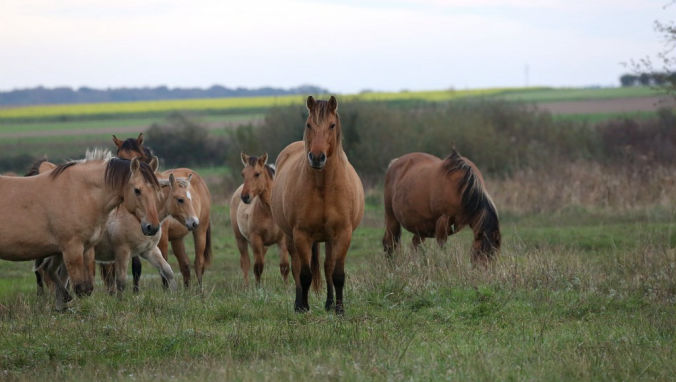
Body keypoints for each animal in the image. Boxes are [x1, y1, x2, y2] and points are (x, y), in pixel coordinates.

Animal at [1, 151, 161, 308]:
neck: (80, 193)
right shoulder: (72, 250)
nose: (152, 227)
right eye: (137, 190)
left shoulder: (86, 249)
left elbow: (86, 287)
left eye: (156, 189)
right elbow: (79, 288)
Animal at [231, 151, 290, 284]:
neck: (270, 212)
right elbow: (258, 267)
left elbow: (284, 266)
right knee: (245, 263)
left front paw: (286, 287)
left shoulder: (282, 240)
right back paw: (246, 286)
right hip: (240, 240)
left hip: (264, 246)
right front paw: (258, 288)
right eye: (243, 174)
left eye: (257, 174)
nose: (245, 197)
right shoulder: (256, 239)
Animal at [270, 96, 364, 314]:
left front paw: (339, 309)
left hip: (329, 239)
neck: (324, 186)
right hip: (290, 237)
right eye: (309, 124)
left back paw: (329, 303)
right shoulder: (301, 234)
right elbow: (305, 275)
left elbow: (337, 273)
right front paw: (303, 307)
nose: (317, 157)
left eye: (332, 125)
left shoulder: (343, 234)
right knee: (296, 267)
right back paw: (298, 304)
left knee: (328, 266)